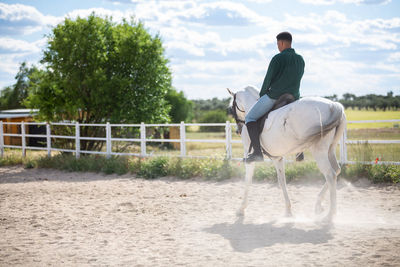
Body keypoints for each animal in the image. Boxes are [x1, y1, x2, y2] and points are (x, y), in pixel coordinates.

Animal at [228, 86, 346, 222]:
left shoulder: (249, 156)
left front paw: (241, 209)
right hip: (330, 150)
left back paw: (330, 215)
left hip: (319, 151)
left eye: (231, 108)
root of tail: (334, 106)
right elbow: (282, 181)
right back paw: (318, 204)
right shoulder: (277, 158)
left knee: (330, 175)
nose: (238, 130)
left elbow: (248, 181)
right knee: (337, 170)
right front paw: (288, 211)